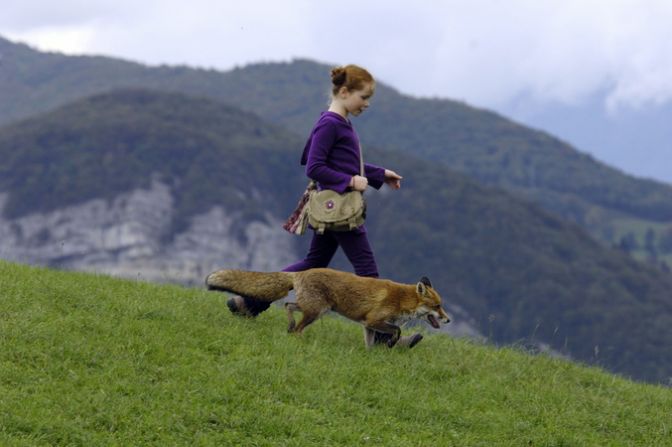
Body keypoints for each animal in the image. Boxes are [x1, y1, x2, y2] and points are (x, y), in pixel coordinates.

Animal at [205, 268, 450, 348]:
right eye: (437, 306)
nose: (448, 320)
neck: (402, 300)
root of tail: (300, 272)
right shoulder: (374, 320)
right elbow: (397, 330)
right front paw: (391, 343)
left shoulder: (367, 325)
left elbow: (370, 345)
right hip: (315, 312)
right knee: (297, 324)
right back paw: (297, 338)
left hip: (313, 309)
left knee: (288, 305)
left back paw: (289, 326)